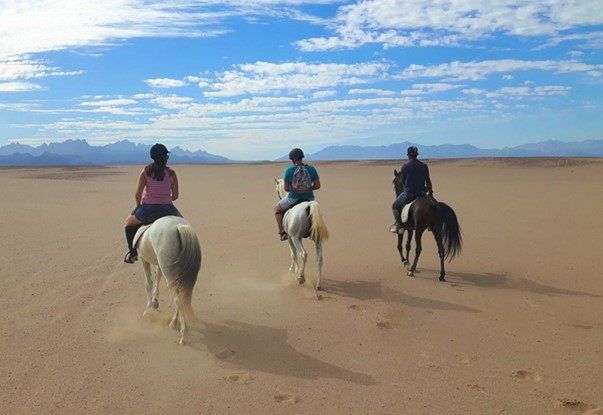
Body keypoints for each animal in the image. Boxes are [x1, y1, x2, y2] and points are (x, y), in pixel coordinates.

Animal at [133, 216, 202, 346]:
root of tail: (179, 227)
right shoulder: (159, 264)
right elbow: (157, 276)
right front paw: (155, 301)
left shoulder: (143, 259)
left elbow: (148, 283)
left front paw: (148, 310)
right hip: (176, 270)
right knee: (181, 294)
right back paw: (175, 323)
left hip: (168, 269)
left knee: (177, 298)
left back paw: (182, 334)